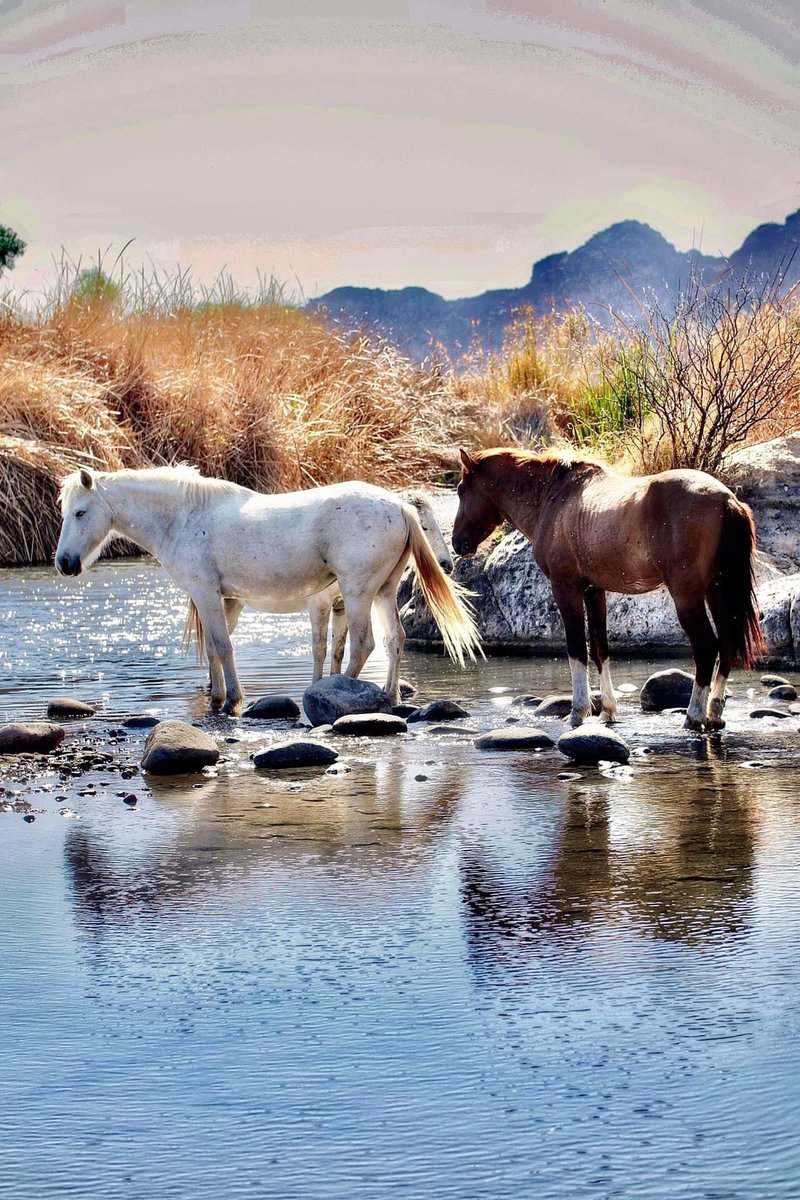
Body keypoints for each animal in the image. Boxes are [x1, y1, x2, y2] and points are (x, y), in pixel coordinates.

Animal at [56, 466, 479, 713]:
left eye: (80, 512)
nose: (64, 563)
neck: (185, 518)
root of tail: (397, 507)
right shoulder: (222, 600)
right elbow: (215, 648)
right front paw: (217, 697)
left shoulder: (207, 593)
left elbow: (224, 646)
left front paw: (232, 700)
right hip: (382, 593)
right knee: (395, 640)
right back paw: (389, 697)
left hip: (358, 593)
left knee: (364, 644)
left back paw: (335, 695)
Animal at [452, 448, 765, 731]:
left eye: (460, 490)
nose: (458, 543)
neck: (553, 498)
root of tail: (726, 500)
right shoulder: (594, 591)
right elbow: (600, 648)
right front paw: (607, 711)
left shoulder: (565, 588)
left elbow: (577, 649)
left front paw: (578, 713)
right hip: (717, 591)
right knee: (727, 644)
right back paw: (714, 714)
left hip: (687, 595)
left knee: (707, 647)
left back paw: (693, 716)